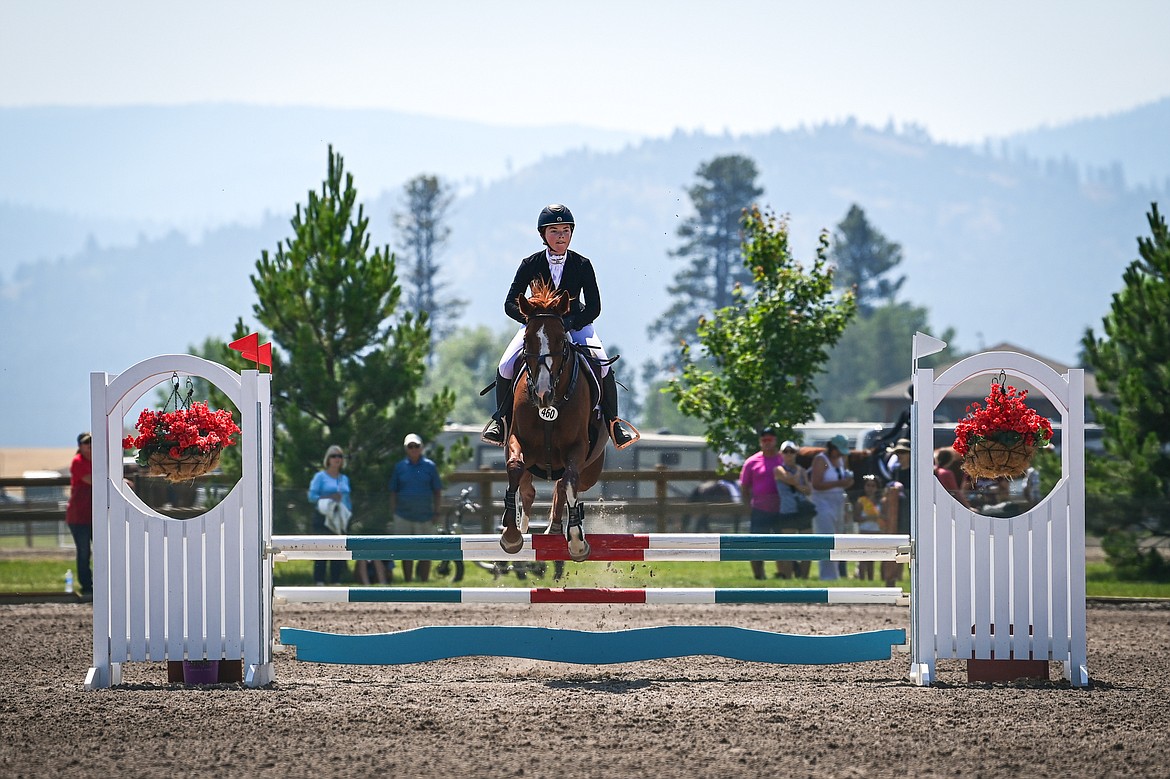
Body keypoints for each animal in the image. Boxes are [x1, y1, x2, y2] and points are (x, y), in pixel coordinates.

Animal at [496, 279, 603, 559]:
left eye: (561, 340)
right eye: (526, 340)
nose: (543, 394)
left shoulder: (578, 448)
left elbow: (569, 481)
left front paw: (576, 540)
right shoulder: (517, 439)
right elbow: (515, 468)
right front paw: (511, 534)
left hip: (592, 469)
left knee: (562, 484)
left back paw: (555, 529)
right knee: (528, 487)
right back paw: (524, 524)